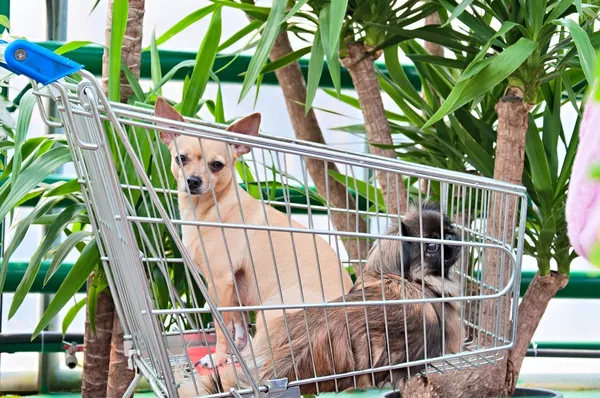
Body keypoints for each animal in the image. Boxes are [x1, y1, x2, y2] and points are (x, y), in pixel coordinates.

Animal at [152, 98, 354, 372]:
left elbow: (222, 326)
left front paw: (218, 357)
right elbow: (237, 323)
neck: (208, 209)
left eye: (217, 165)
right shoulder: (234, 286)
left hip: (272, 310)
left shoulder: (220, 282)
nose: (193, 181)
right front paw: (235, 349)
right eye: (180, 158)